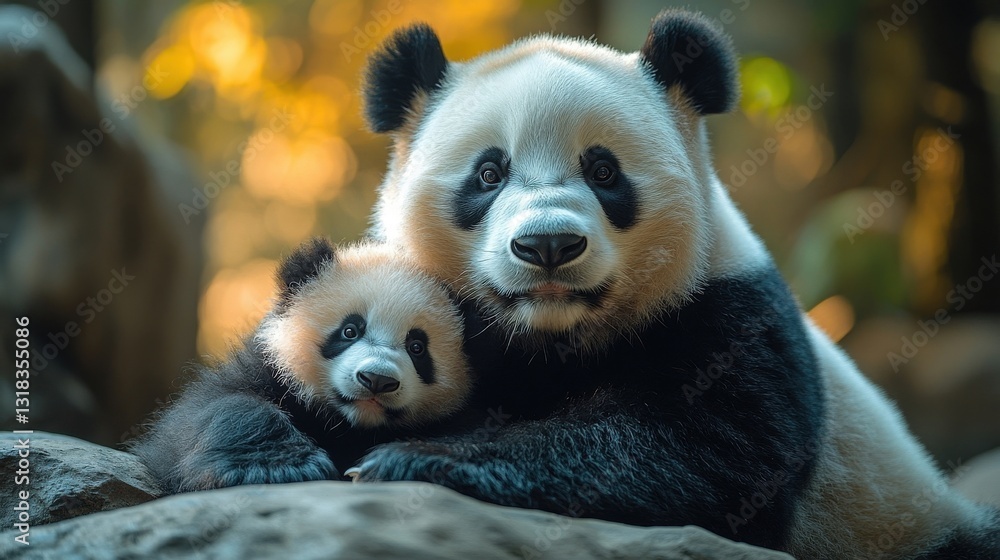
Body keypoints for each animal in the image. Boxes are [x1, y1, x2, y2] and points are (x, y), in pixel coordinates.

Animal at [129, 238, 472, 493]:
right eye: (350, 330)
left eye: (417, 348)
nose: (376, 379)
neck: (348, 424)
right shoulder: (266, 367)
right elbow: (210, 411)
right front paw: (280, 467)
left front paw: (400, 461)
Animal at [348, 9, 1000, 559]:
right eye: (489, 173)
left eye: (603, 171)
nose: (549, 245)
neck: (551, 336)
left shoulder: (730, 314)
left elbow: (708, 454)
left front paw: (413, 459)